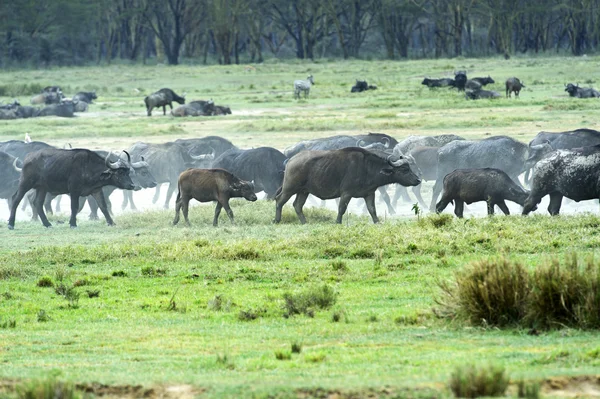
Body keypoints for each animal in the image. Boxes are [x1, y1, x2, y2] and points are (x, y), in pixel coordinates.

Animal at [274, 148, 420, 227]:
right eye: (405, 170)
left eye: (409, 167)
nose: (418, 180)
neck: (367, 168)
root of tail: (291, 160)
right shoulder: (346, 193)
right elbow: (341, 209)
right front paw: (338, 222)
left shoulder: (369, 193)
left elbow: (372, 209)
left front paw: (377, 222)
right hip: (289, 188)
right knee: (279, 200)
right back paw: (276, 220)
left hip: (303, 191)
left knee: (297, 205)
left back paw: (304, 222)